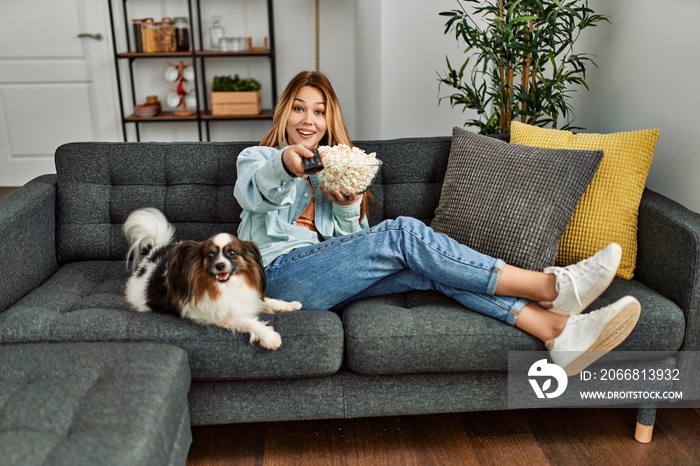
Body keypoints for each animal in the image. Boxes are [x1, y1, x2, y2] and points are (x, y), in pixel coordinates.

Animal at [122, 208, 300, 350]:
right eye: (210, 255)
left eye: (232, 253)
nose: (220, 265)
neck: (227, 286)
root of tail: (151, 255)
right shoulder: (221, 315)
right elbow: (248, 321)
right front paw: (269, 336)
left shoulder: (247, 298)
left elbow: (267, 301)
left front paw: (288, 305)